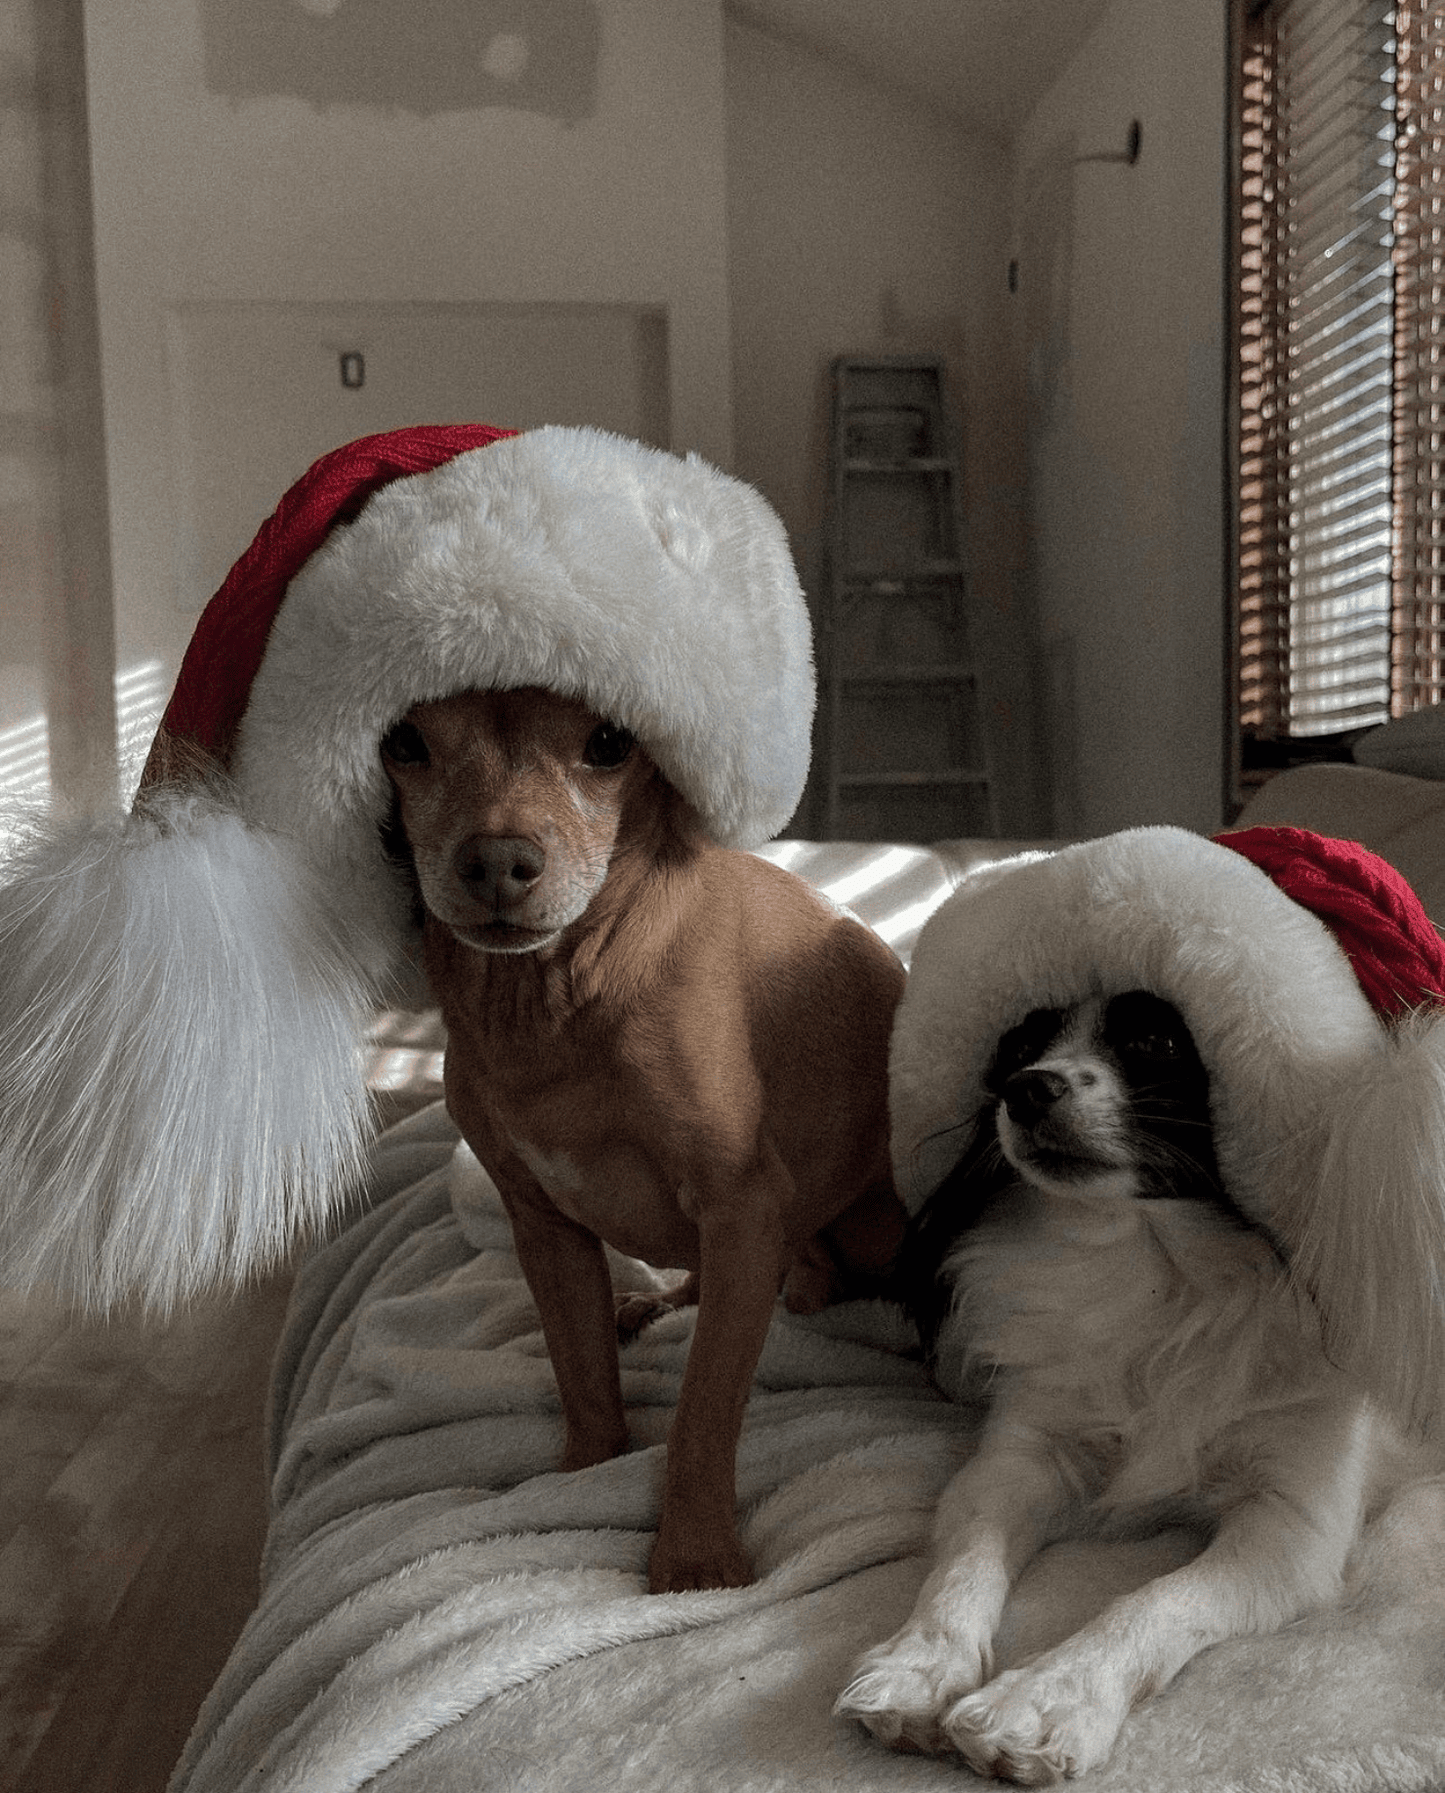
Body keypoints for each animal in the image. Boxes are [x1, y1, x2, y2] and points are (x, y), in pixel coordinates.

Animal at [385, 677, 903, 1592]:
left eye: (608, 745)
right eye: (403, 744)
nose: (495, 861)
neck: (551, 1000)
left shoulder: (741, 1208)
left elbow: (702, 1408)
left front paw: (695, 1555)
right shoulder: (544, 1226)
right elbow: (583, 1373)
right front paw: (585, 1475)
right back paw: (659, 1300)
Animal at [842, 989, 1419, 1785]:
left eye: (1156, 1041)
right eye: (1018, 1049)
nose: (1027, 1088)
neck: (1157, 1268)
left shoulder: (1290, 1527)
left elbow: (1156, 1599)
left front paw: (1046, 1696)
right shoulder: (1019, 1460)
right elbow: (966, 1560)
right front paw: (919, 1662)